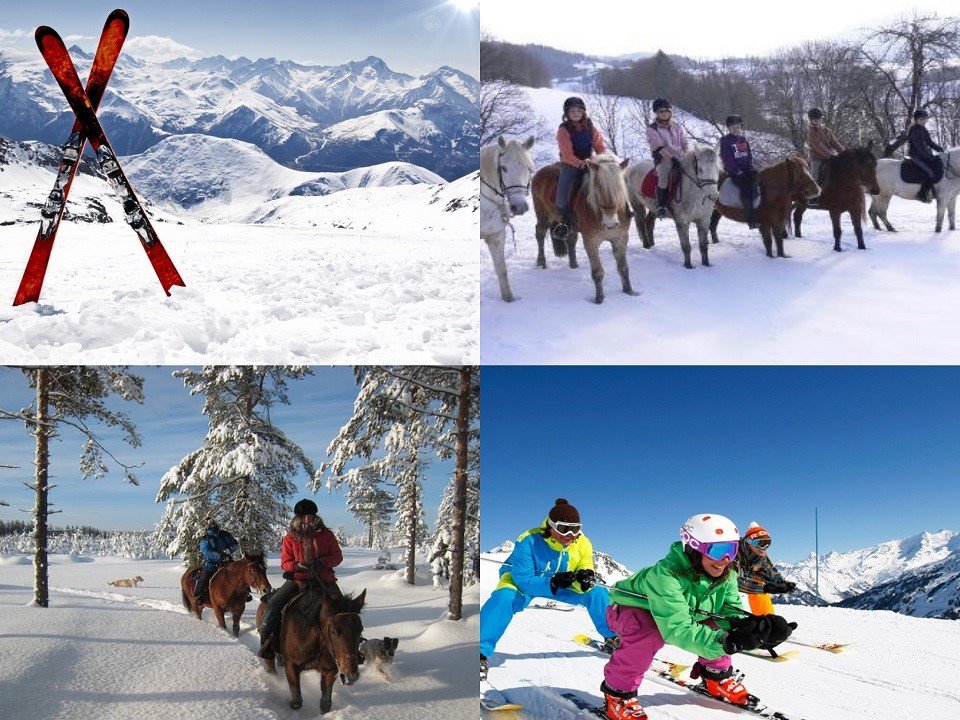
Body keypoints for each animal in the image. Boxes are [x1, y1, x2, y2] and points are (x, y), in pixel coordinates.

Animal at [255, 580, 368, 716]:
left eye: (360, 629)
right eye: (333, 631)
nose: (351, 675)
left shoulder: (330, 671)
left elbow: (325, 704)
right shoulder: (291, 666)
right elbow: (297, 702)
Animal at [480, 136, 540, 302]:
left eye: (529, 169)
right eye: (504, 168)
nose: (519, 207)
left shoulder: (497, 237)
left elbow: (502, 270)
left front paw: (509, 299)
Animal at [532, 155, 636, 304]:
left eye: (620, 189)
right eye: (598, 189)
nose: (610, 223)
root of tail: (540, 172)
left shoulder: (620, 238)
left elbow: (623, 268)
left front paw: (629, 291)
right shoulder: (591, 242)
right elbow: (598, 272)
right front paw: (599, 298)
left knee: (571, 239)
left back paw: (573, 264)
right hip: (543, 215)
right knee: (539, 233)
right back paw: (541, 262)